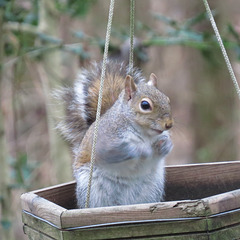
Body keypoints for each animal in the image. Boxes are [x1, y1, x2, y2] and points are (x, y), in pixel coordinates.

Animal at [57, 61, 173, 208]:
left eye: (167, 99)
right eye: (145, 105)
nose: (169, 124)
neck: (145, 133)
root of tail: (122, 204)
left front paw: (165, 145)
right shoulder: (104, 140)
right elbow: (113, 151)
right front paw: (141, 150)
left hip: (152, 189)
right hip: (92, 190)